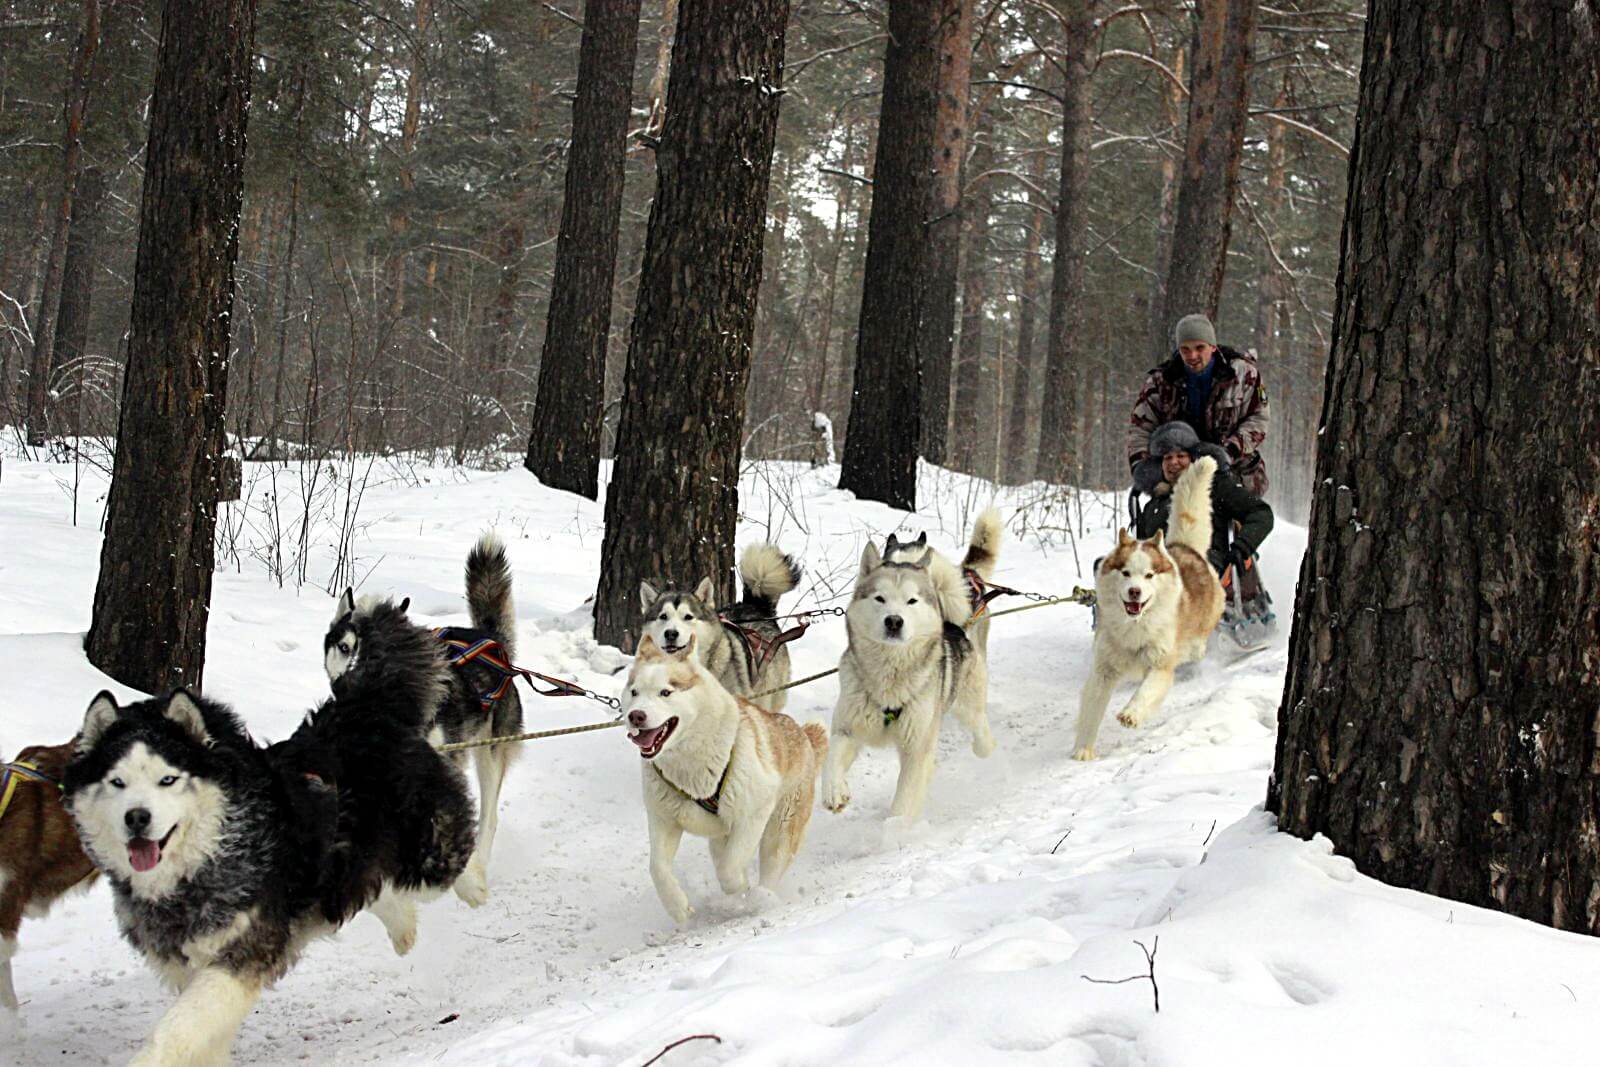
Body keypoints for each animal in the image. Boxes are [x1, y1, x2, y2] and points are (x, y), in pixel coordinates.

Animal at [64, 662, 473, 1062]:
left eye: (168, 779)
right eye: (117, 782)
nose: (137, 818)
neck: (206, 859)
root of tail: (363, 711)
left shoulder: (245, 950)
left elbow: (179, 1026)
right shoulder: (188, 963)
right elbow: (204, 1033)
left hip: (429, 855)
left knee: (457, 856)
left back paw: (476, 888)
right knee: (373, 892)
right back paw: (404, 931)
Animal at [324, 531, 524, 902]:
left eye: (379, 654)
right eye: (344, 648)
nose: (347, 687)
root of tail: (492, 641)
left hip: (489, 752)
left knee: (489, 816)